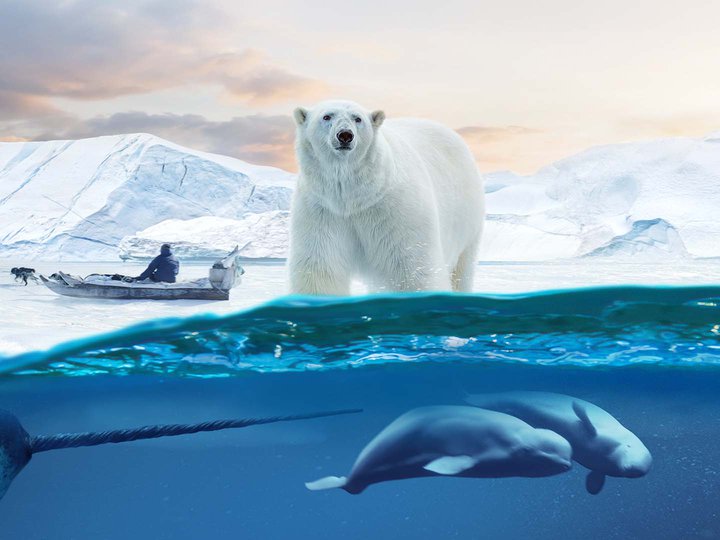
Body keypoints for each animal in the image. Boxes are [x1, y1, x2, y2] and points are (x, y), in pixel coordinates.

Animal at [288, 100, 485, 295]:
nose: (345, 135)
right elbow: (320, 266)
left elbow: (411, 267)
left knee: (461, 270)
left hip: (466, 217)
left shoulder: (393, 210)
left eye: (357, 118)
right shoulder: (323, 210)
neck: (354, 196)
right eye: (327, 116)